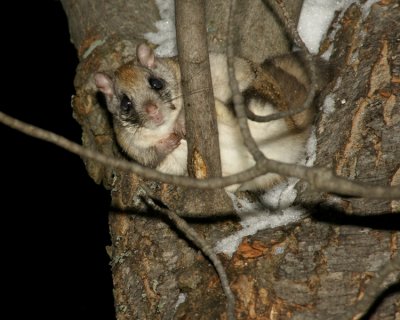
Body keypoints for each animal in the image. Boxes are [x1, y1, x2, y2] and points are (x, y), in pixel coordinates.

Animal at [94, 43, 316, 191]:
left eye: (156, 83)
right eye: (126, 104)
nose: (152, 110)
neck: (166, 126)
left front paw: (180, 121)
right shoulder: (131, 147)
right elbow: (151, 156)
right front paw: (167, 143)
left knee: (229, 113)